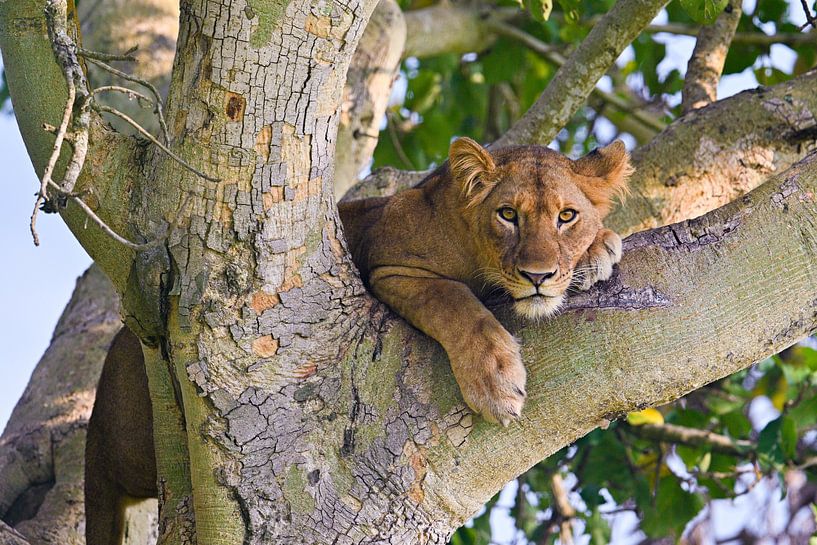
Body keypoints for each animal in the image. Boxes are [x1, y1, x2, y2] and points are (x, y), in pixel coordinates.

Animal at [338, 137, 632, 425]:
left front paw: (598, 246)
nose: (537, 276)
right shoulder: (388, 266)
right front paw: (496, 382)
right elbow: (451, 299)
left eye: (567, 216)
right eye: (508, 214)